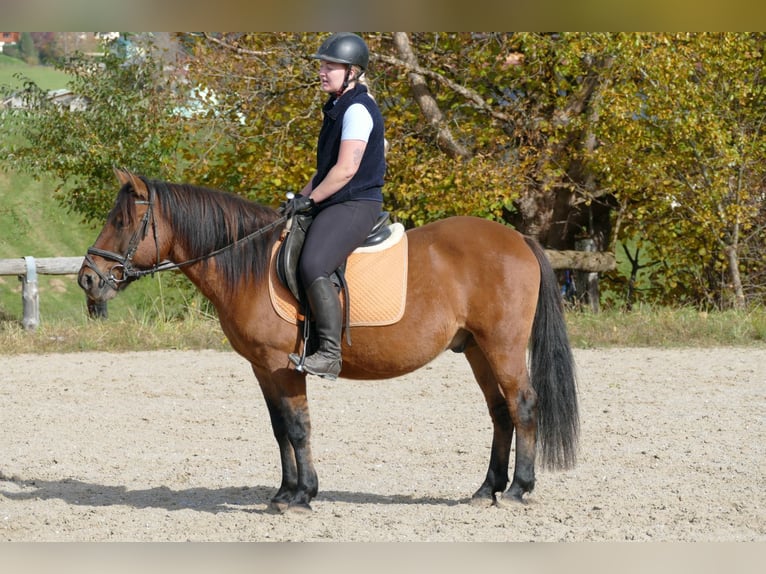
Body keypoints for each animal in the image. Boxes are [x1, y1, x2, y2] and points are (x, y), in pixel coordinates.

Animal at [79, 169, 584, 516]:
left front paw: (303, 496)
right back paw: (486, 489)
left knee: (522, 405)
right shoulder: (262, 367)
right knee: (499, 412)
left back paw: (517, 490)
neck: (249, 261)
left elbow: (299, 426)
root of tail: (518, 238)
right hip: (477, 348)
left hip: (502, 346)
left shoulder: (284, 365)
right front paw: (284, 492)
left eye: (122, 221)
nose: (88, 279)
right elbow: (279, 428)